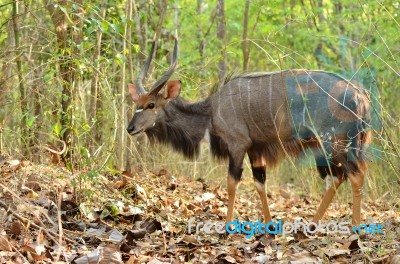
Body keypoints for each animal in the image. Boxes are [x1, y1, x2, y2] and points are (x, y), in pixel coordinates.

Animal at [127, 38, 372, 229]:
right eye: (136, 103)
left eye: (150, 105)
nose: (130, 128)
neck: (211, 111)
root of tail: (360, 96)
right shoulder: (256, 149)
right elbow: (259, 184)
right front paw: (269, 225)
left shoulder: (238, 144)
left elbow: (231, 183)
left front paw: (228, 226)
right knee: (338, 177)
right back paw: (313, 224)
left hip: (334, 143)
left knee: (354, 174)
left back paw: (354, 228)